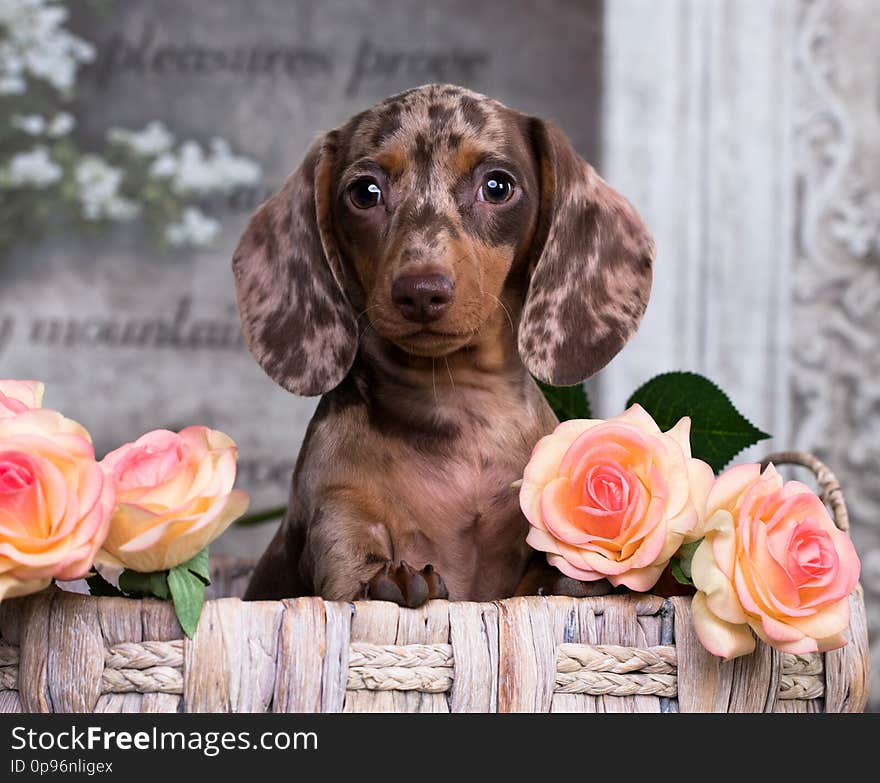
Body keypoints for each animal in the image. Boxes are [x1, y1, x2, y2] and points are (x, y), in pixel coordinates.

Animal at [234, 84, 652, 608]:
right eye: (365, 192)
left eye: (498, 187)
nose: (420, 291)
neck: (456, 406)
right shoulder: (336, 511)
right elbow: (354, 559)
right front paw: (386, 579)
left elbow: (544, 569)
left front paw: (565, 580)